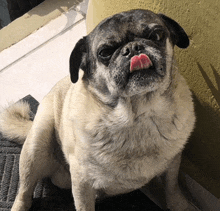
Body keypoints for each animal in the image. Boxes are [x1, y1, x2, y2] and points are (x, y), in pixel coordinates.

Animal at [0, 9, 197, 210]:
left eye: (157, 36)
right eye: (105, 53)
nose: (133, 48)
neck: (138, 115)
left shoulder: (173, 163)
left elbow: (172, 187)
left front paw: (180, 205)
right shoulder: (82, 182)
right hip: (36, 143)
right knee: (24, 191)